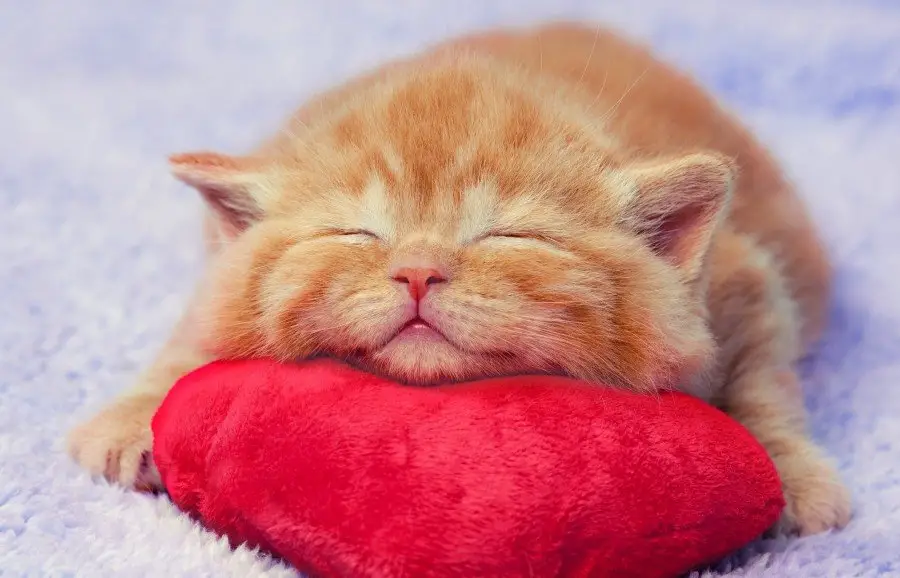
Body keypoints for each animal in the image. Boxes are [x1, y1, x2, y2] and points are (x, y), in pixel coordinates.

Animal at [70, 22, 852, 536]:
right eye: (357, 232)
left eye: (507, 236)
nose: (418, 271)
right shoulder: (217, 279)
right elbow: (193, 334)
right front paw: (129, 418)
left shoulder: (746, 278)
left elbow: (764, 382)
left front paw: (791, 473)